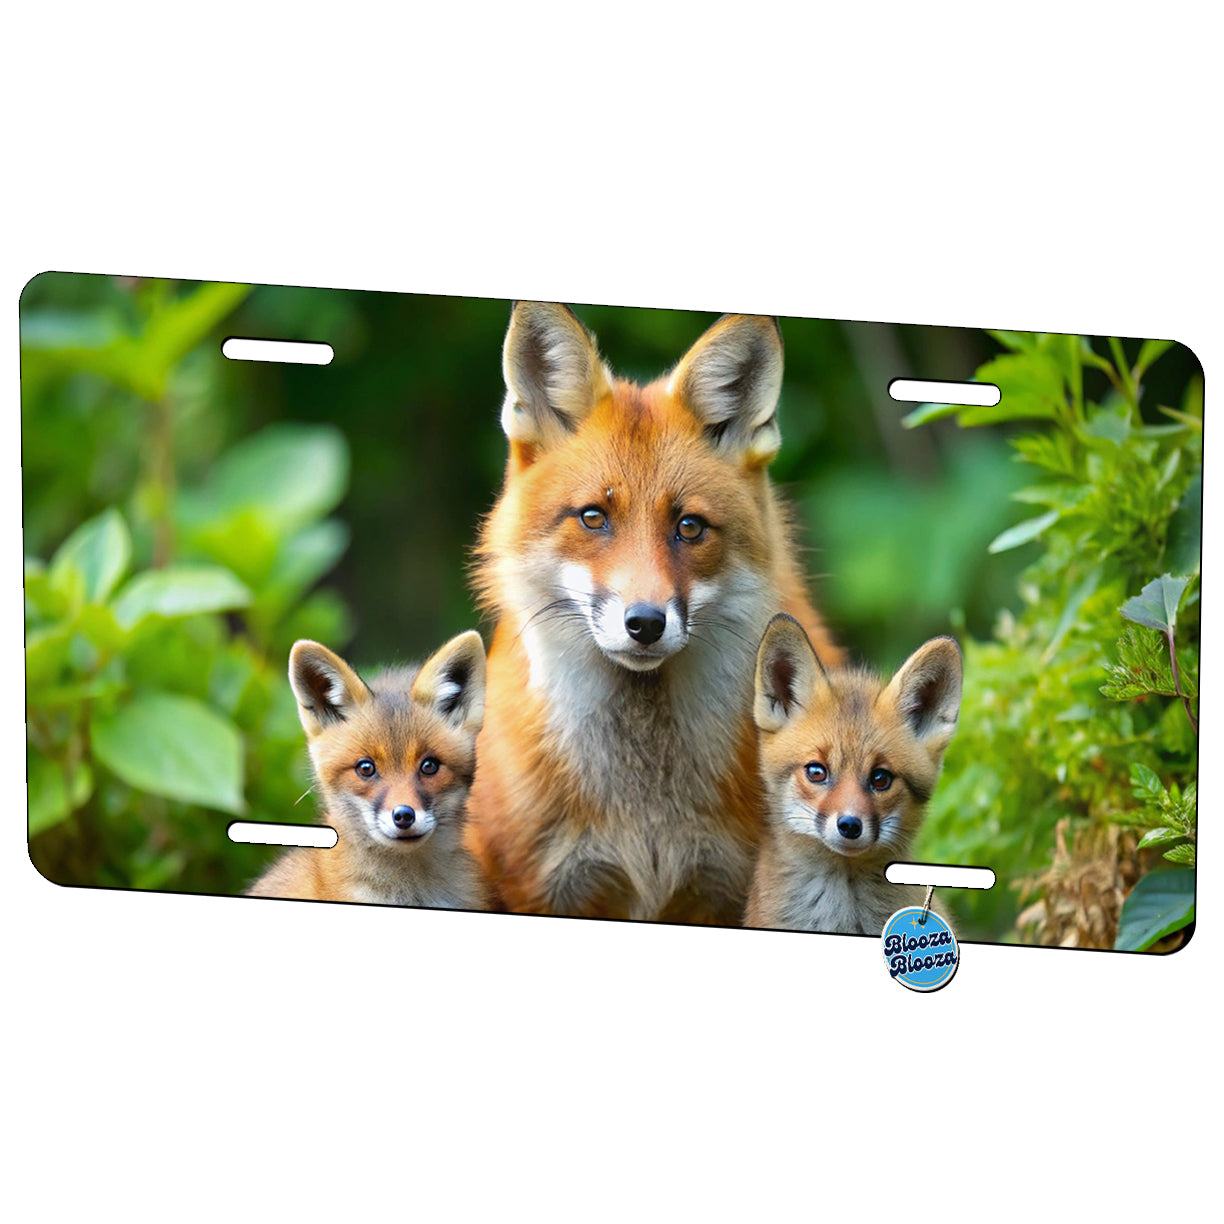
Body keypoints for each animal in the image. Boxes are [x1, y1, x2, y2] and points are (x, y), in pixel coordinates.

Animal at [464, 302, 842, 923]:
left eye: (689, 527)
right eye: (593, 518)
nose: (644, 623)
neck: (646, 811)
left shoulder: (726, 887)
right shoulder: (546, 888)